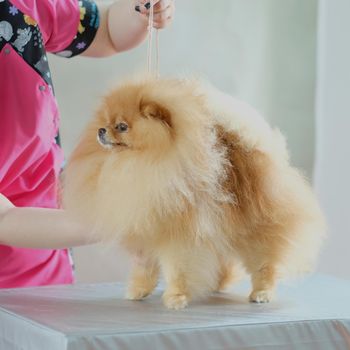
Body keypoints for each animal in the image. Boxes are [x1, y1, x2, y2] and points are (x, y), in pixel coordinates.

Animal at [63, 77, 326, 308]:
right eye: (105, 122)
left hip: (256, 233)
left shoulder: (180, 237)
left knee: (264, 265)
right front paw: (139, 290)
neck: (137, 163)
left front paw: (176, 298)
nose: (100, 130)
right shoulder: (146, 232)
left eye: (122, 127)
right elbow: (145, 267)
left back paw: (261, 293)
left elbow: (177, 270)